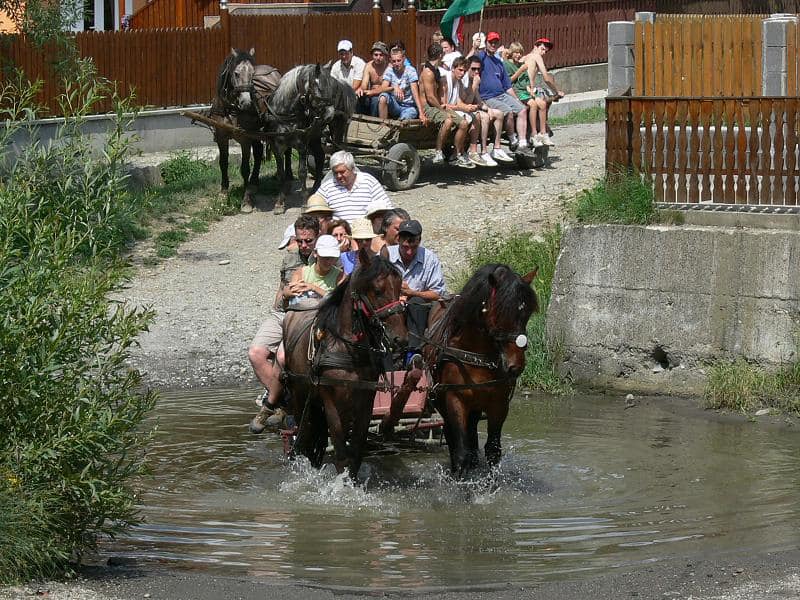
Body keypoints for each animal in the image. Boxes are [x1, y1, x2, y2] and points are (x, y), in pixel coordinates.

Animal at [282, 246, 406, 480]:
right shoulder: (330, 399)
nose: (399, 339)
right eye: (377, 290)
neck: (347, 347)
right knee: (304, 436)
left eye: (400, 286)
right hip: (300, 394)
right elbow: (340, 447)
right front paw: (341, 483)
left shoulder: (365, 399)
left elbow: (356, 448)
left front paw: (352, 481)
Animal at [422, 264, 536, 480]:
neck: (477, 355)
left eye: (527, 313)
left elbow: (493, 450)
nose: (516, 365)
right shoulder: (455, 399)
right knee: (453, 437)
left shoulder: (498, 404)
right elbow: (461, 451)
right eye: (500, 311)